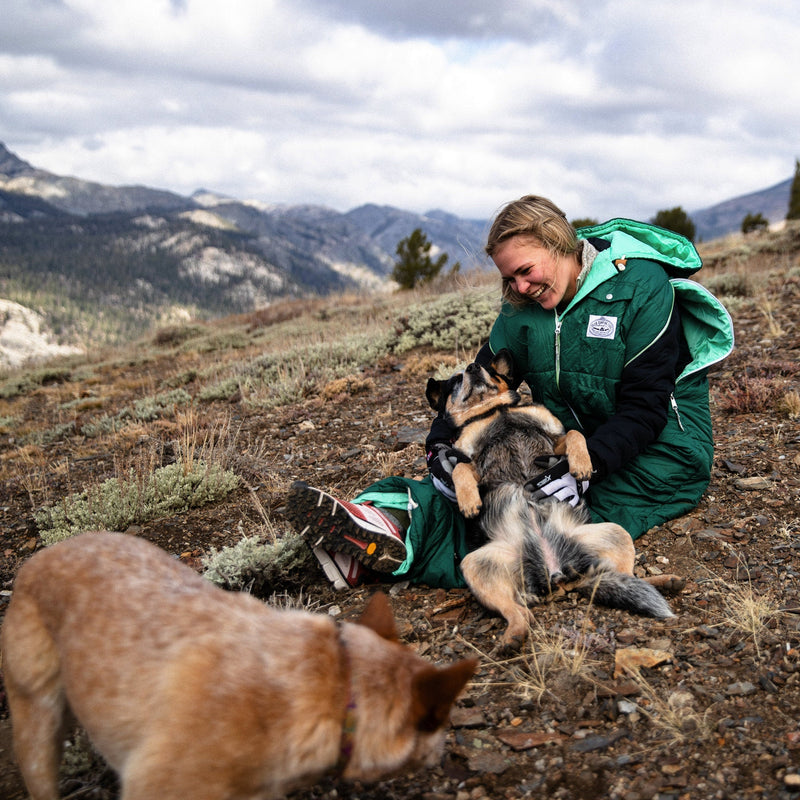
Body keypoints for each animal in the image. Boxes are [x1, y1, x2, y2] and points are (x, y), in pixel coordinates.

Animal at [424, 350, 676, 648]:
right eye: (455, 381)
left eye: (488, 370)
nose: (473, 368)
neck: (493, 410)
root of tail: (555, 571)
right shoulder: (470, 461)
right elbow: (457, 468)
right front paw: (467, 500)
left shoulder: (555, 440)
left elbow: (575, 435)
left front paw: (581, 464)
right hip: (476, 567)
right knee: (518, 611)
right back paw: (513, 636)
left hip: (617, 534)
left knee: (625, 576)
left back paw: (666, 581)